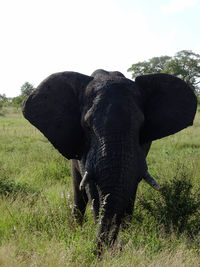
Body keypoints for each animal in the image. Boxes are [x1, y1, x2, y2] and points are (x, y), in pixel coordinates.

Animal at [22, 68, 197, 254]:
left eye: (141, 126)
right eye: (87, 126)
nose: (114, 249)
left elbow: (130, 185)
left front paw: (127, 233)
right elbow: (91, 187)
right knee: (78, 190)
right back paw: (76, 229)